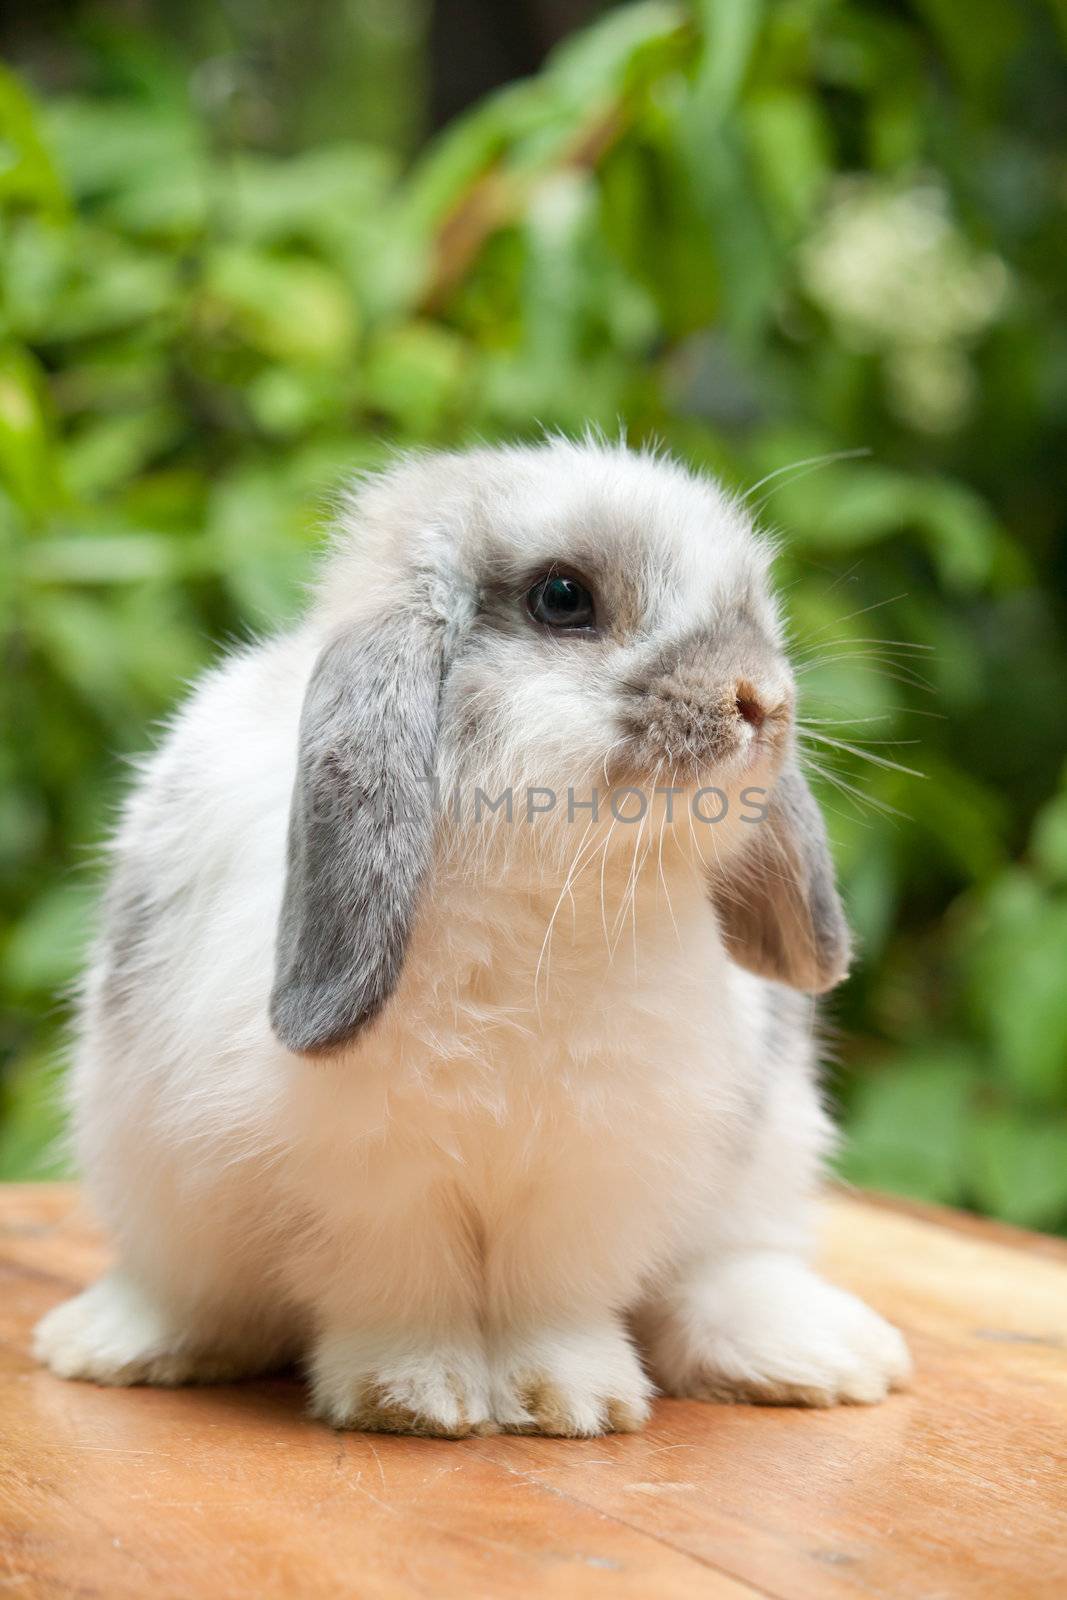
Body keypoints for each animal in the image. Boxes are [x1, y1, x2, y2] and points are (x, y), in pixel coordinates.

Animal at [37, 438, 915, 1440]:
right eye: (563, 598)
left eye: (754, 606)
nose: (761, 699)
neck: (538, 896)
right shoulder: (369, 1182)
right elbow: (401, 1290)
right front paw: (415, 1398)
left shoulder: (597, 1168)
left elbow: (555, 1297)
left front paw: (569, 1400)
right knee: (193, 1293)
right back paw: (115, 1345)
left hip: (768, 1163)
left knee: (727, 1274)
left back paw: (821, 1357)